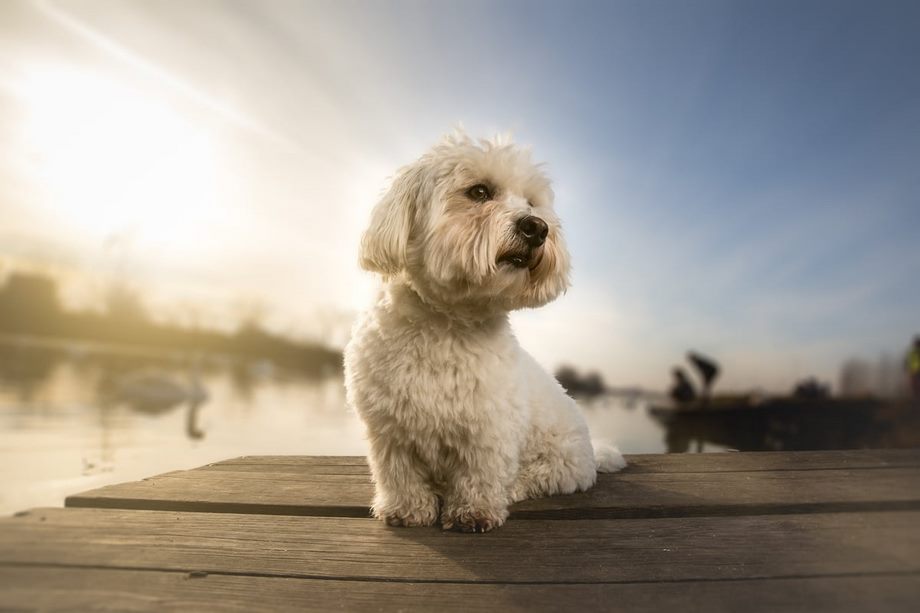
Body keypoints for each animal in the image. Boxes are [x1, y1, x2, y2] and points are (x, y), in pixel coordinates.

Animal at [344, 130, 624, 532]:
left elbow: (480, 473)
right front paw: (406, 509)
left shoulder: (489, 429)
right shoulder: (389, 428)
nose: (537, 227)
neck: (448, 323)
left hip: (561, 461)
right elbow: (400, 473)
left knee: (541, 476)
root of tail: (592, 451)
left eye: (531, 202)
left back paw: (515, 489)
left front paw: (472, 512)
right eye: (479, 192)